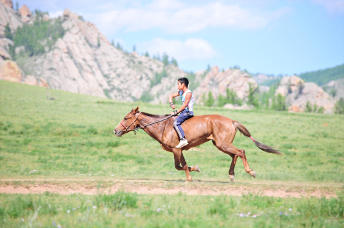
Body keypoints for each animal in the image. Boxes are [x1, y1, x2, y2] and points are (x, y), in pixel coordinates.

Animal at [113, 106, 280, 182]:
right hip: (220, 144)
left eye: (126, 118)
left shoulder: (176, 150)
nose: (115, 130)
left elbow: (179, 166)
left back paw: (250, 172)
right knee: (235, 155)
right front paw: (192, 174)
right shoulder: (179, 151)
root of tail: (231, 120)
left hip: (223, 144)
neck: (162, 126)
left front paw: (192, 174)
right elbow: (183, 165)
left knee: (241, 152)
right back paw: (231, 175)